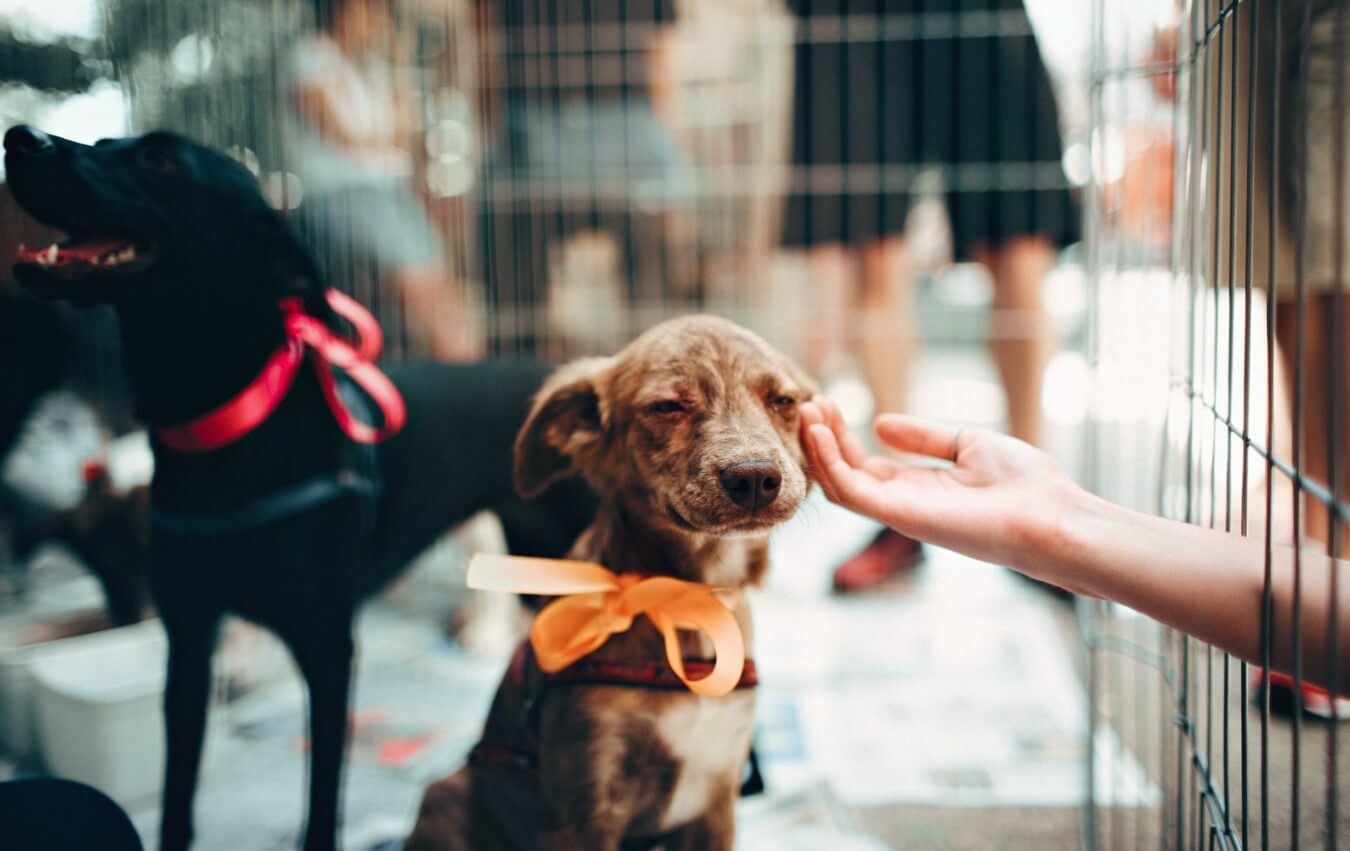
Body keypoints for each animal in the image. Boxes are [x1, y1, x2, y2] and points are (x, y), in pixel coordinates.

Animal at [3, 126, 596, 851]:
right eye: (106, 139)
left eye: (161, 159)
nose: (21, 138)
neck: (224, 431)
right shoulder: (189, 642)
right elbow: (177, 797)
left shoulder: (327, 647)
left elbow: (321, 803)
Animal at [405, 318, 810, 851]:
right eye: (667, 406)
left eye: (783, 400)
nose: (756, 479)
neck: (684, 601)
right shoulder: (586, 804)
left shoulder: (716, 799)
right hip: (447, 795)